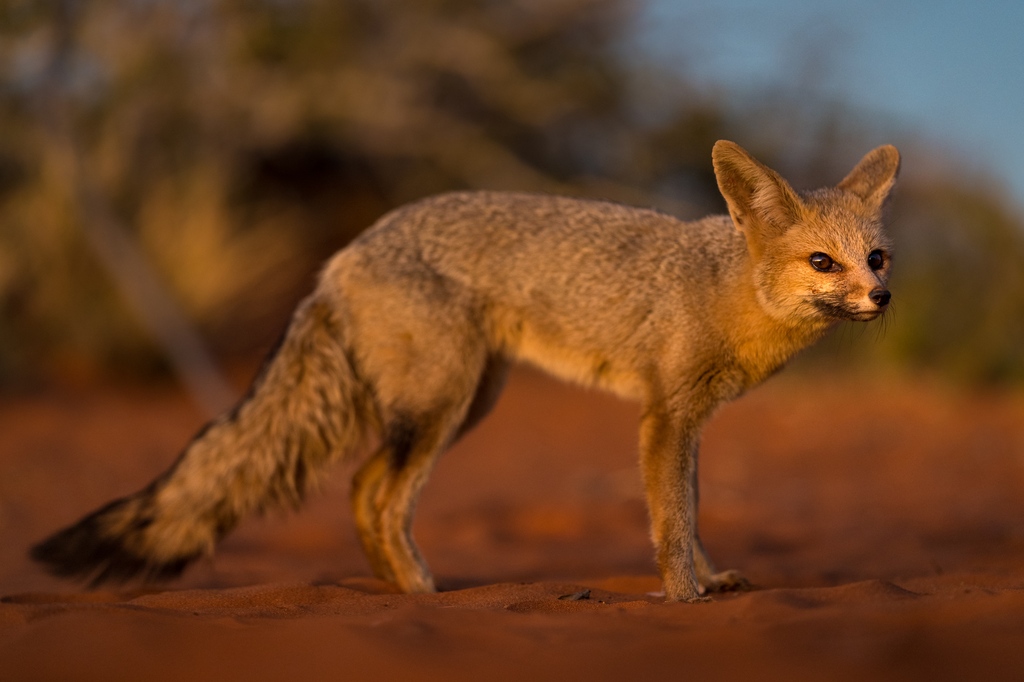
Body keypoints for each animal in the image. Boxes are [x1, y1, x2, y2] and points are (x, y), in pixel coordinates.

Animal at [31, 140, 899, 602]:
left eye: (876, 257)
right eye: (823, 263)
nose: (883, 297)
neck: (724, 286)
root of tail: (341, 255)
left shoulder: (692, 422)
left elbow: (692, 514)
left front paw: (710, 582)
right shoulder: (664, 415)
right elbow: (671, 520)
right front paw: (684, 596)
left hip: (467, 401)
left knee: (361, 487)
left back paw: (400, 592)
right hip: (442, 404)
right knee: (378, 494)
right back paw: (420, 596)